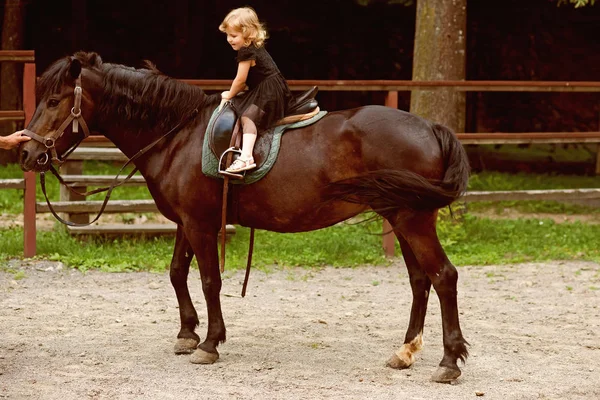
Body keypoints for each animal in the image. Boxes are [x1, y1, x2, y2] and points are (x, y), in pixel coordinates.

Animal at [18, 52, 472, 382]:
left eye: (55, 101)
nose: (26, 153)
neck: (176, 135)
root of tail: (430, 128)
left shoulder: (200, 224)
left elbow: (208, 280)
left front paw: (209, 343)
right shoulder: (186, 221)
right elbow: (177, 273)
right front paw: (187, 334)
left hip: (413, 218)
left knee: (443, 277)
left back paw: (448, 362)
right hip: (399, 215)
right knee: (420, 281)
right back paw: (405, 351)